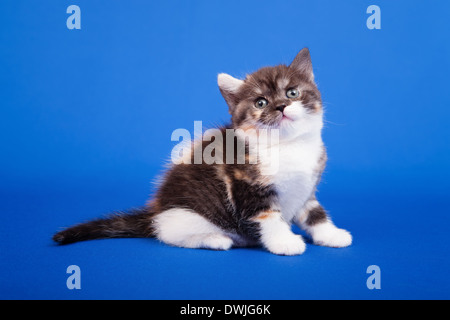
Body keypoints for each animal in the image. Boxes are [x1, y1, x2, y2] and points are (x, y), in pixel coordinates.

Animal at [52, 48, 352, 255]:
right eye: (261, 102)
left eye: (292, 93)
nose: (280, 107)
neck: (288, 145)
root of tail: (155, 212)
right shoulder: (247, 186)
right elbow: (268, 217)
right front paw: (285, 243)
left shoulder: (306, 190)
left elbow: (314, 213)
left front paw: (332, 234)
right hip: (188, 215)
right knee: (168, 234)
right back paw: (215, 240)